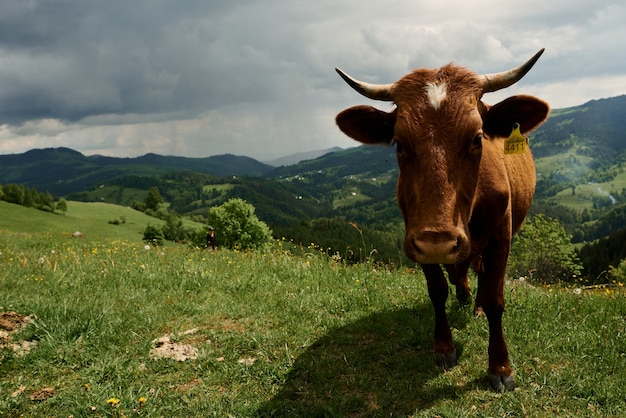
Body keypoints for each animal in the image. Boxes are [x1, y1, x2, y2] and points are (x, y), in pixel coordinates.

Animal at [336, 49, 544, 392]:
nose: (440, 240)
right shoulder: (417, 237)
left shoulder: (501, 236)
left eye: (477, 138)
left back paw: (475, 305)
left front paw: (500, 366)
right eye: (399, 142)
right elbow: (437, 291)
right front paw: (444, 346)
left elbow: (496, 299)